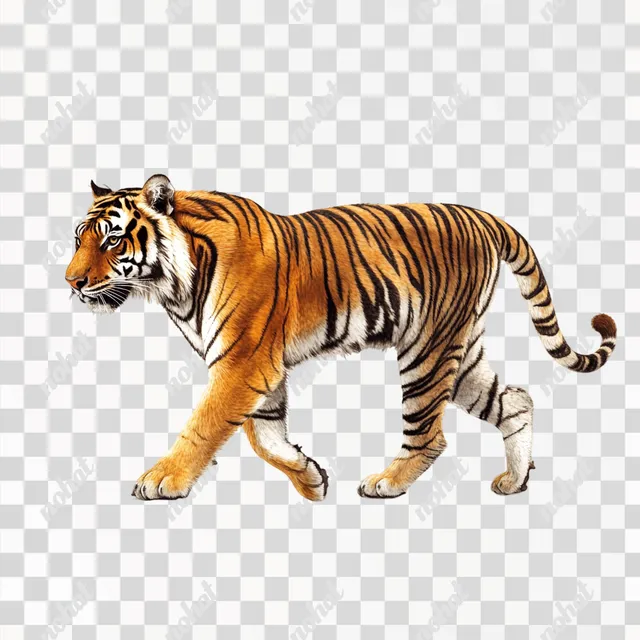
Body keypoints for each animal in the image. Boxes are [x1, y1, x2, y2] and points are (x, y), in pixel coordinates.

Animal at [65, 174, 617, 501]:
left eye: (112, 239)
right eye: (78, 239)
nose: (72, 281)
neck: (174, 284)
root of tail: (484, 217)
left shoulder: (244, 362)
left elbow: (206, 425)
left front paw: (164, 479)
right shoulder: (262, 368)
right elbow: (264, 435)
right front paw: (310, 478)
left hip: (427, 348)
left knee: (430, 433)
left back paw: (387, 482)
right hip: (460, 351)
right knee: (516, 399)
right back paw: (515, 481)